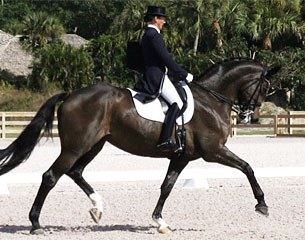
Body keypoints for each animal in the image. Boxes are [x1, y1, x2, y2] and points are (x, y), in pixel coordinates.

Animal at [0, 58, 280, 234]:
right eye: (264, 87)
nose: (252, 117)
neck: (210, 99)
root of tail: (70, 94)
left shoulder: (182, 157)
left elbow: (167, 186)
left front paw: (160, 222)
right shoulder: (213, 151)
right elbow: (247, 167)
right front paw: (262, 205)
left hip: (94, 145)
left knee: (75, 172)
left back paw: (97, 208)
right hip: (76, 147)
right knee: (51, 176)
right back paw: (36, 224)